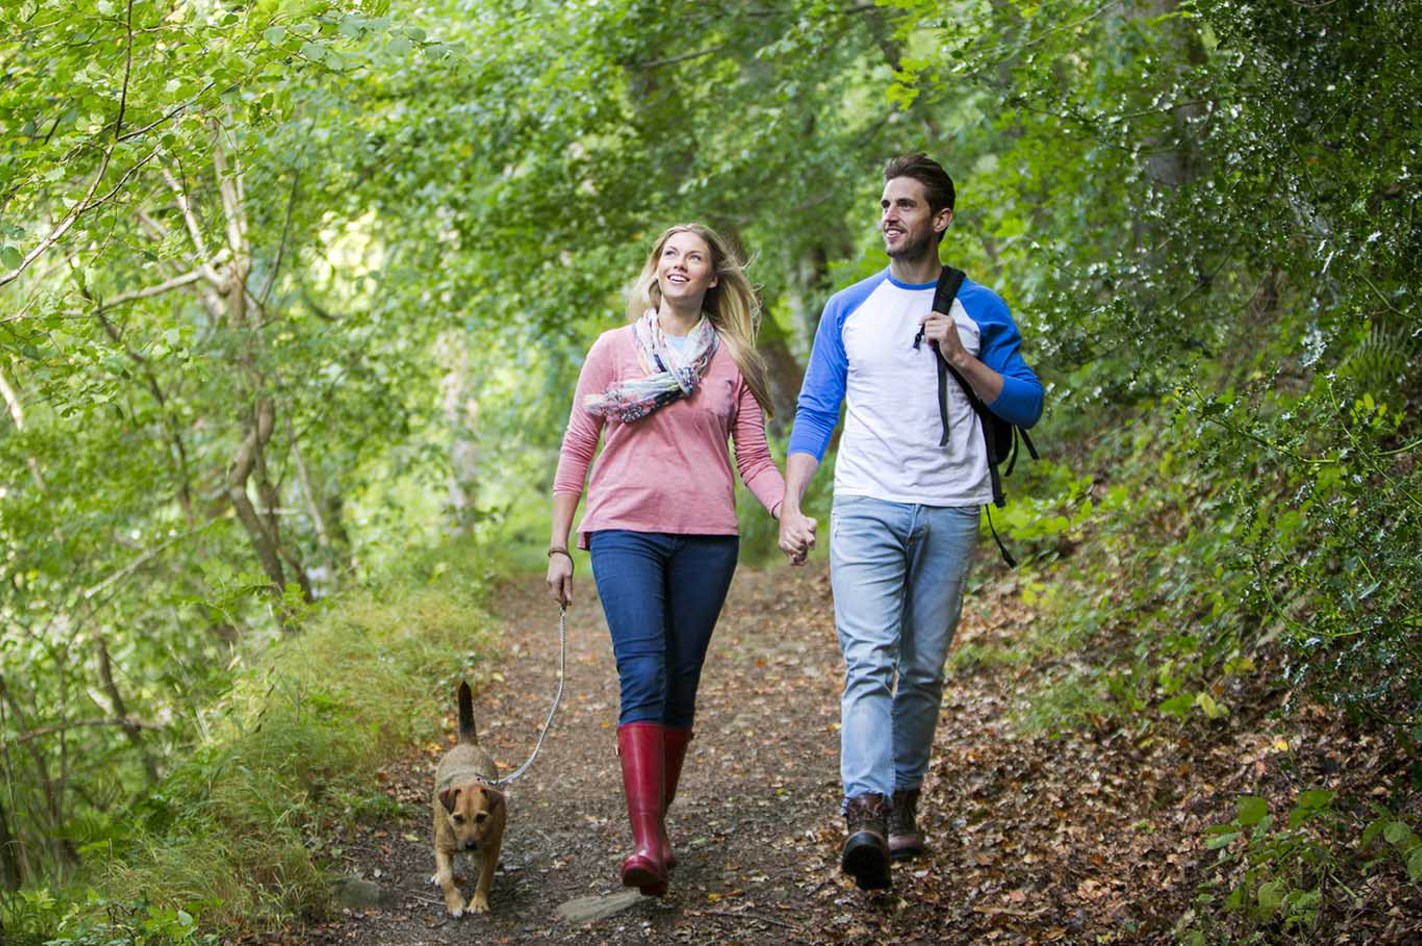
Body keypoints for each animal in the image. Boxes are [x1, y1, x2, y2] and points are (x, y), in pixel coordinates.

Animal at [429, 679, 509, 916]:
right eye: (457, 818)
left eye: (482, 817)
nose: (470, 845)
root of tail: (467, 744)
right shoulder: (443, 847)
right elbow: (447, 876)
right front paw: (454, 902)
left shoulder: (492, 848)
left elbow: (485, 878)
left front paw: (479, 902)